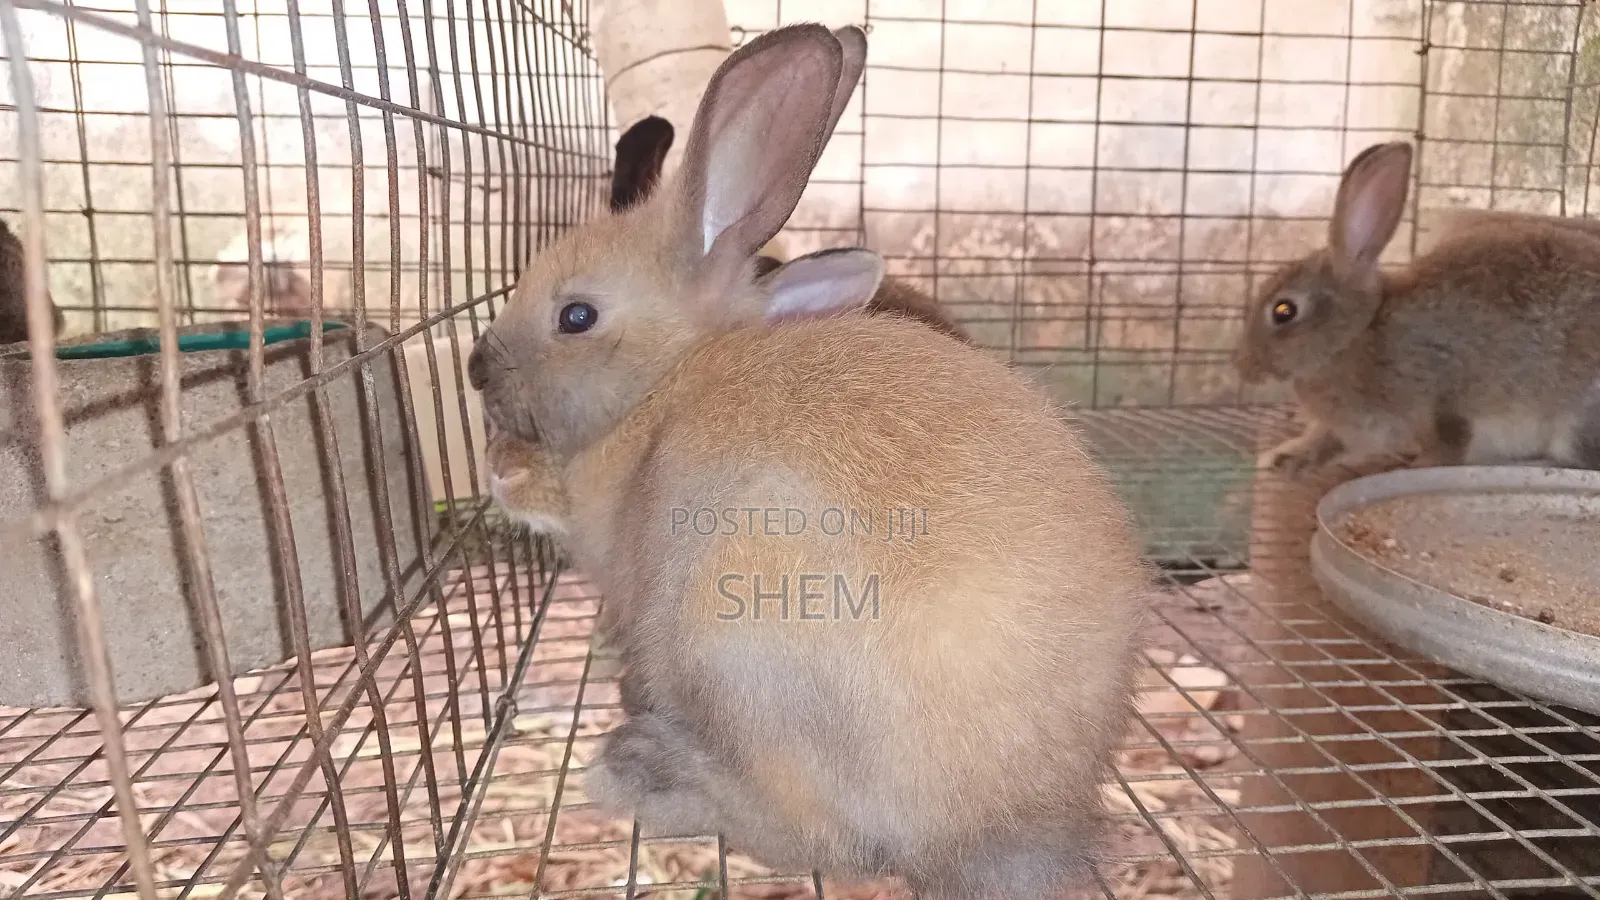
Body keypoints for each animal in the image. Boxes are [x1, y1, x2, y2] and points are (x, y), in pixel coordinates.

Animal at [1234, 140, 1600, 477]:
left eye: (1284, 311)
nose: (1245, 369)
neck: (1358, 335)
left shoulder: (1440, 395)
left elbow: (1447, 443)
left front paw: (1415, 466)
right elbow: (1325, 442)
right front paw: (1284, 458)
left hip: (1575, 419)